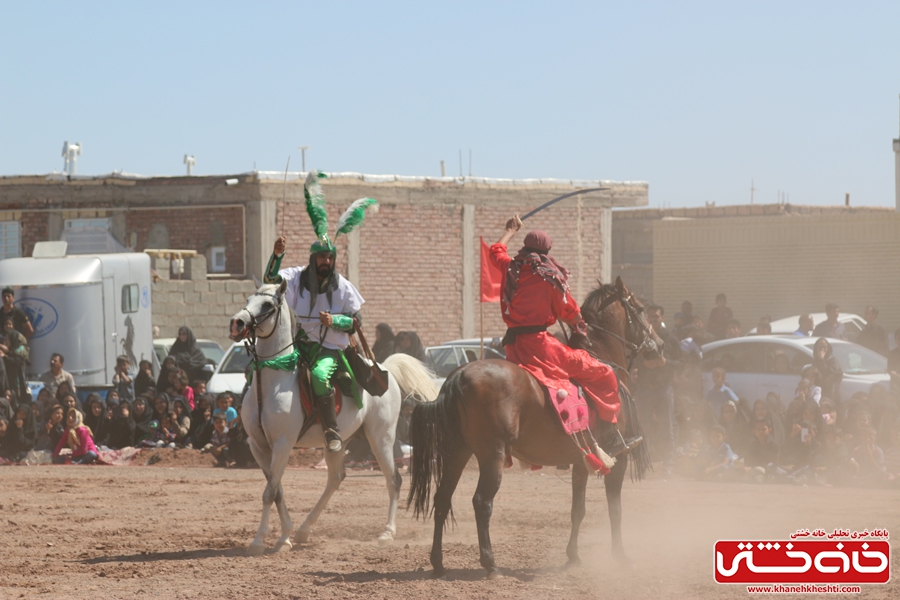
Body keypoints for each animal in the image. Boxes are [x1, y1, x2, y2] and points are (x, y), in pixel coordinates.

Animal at [229, 278, 440, 556]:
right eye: (247, 300)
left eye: (266, 304)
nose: (237, 323)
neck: (273, 380)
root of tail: (385, 370)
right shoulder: (258, 446)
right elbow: (277, 491)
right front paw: (284, 537)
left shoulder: (283, 444)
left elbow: (269, 492)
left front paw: (260, 540)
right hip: (338, 442)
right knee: (335, 479)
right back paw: (304, 530)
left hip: (381, 438)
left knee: (394, 480)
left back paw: (387, 533)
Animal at [408, 278, 660, 580]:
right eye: (642, 309)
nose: (659, 345)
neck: (600, 356)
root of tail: (458, 376)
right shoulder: (618, 458)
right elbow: (616, 508)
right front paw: (621, 556)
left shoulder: (581, 461)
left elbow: (578, 510)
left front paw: (573, 556)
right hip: (491, 455)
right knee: (481, 502)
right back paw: (490, 563)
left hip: (457, 451)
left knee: (442, 499)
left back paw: (438, 563)